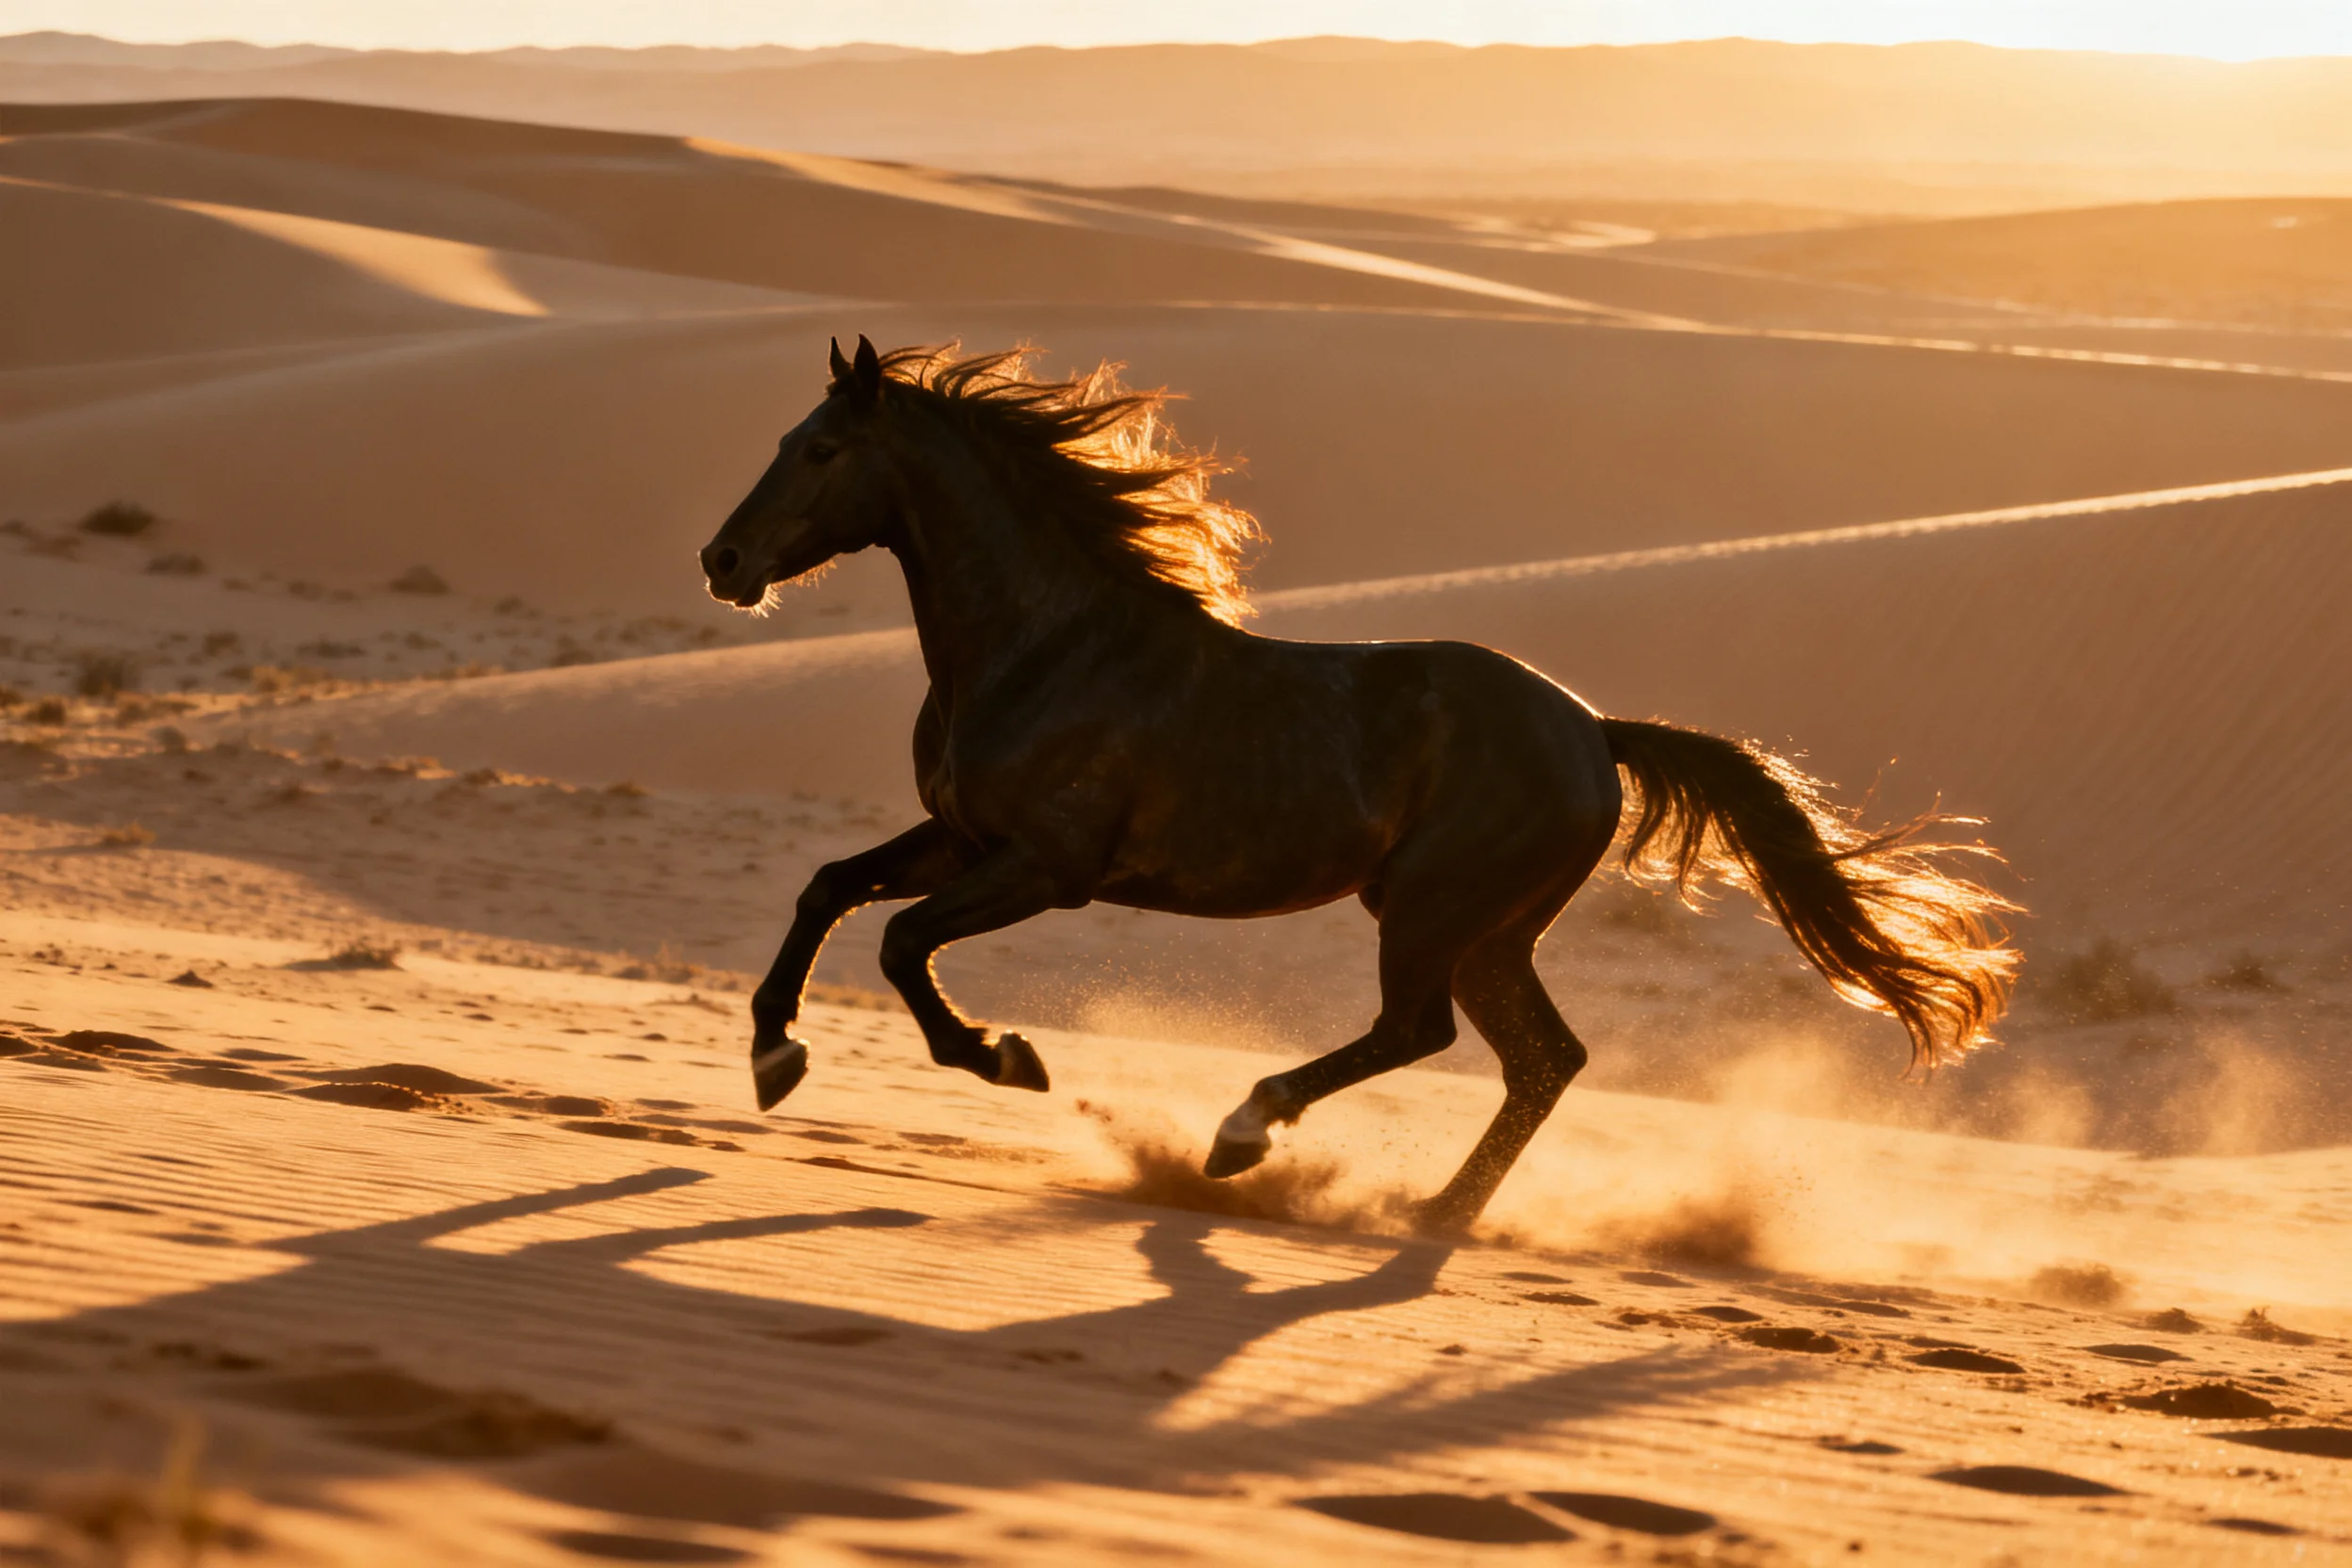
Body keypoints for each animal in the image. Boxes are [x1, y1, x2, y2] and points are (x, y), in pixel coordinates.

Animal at [699, 335, 2019, 1233]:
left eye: (822, 449)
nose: (722, 559)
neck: (1045, 644)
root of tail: (1594, 730)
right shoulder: (963, 837)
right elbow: (831, 890)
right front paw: (773, 1054)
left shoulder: (1043, 867)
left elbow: (900, 943)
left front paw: (1005, 1055)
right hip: (1491, 933)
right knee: (1543, 1059)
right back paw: (1436, 1211)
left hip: (1433, 912)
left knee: (1419, 1030)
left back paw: (1245, 1133)